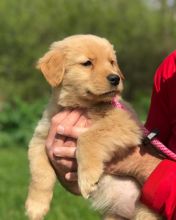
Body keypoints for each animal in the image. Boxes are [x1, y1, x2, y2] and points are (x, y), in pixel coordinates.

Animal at [25, 34, 161, 220]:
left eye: (112, 62)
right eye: (87, 63)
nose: (115, 78)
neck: (81, 105)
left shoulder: (124, 123)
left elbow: (88, 137)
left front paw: (88, 178)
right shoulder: (41, 138)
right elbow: (40, 174)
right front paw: (36, 207)